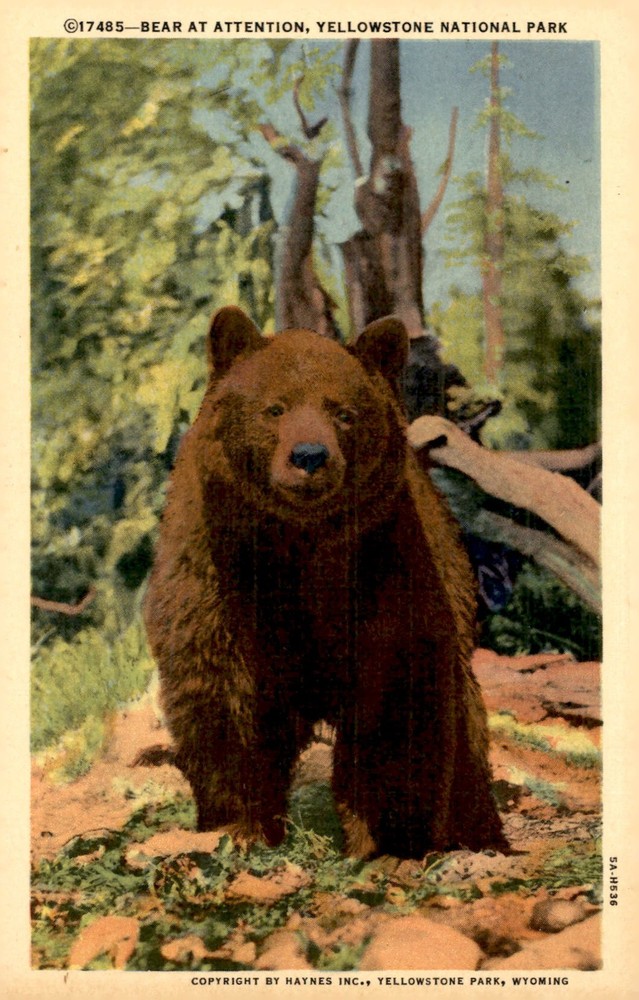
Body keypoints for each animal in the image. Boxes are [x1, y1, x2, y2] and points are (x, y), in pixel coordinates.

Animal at [144, 306, 506, 859]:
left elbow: (395, 699)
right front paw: (238, 826)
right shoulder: (220, 567)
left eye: (343, 412)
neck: (301, 540)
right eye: (273, 409)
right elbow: (224, 692)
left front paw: (387, 838)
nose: (309, 455)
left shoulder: (385, 565)